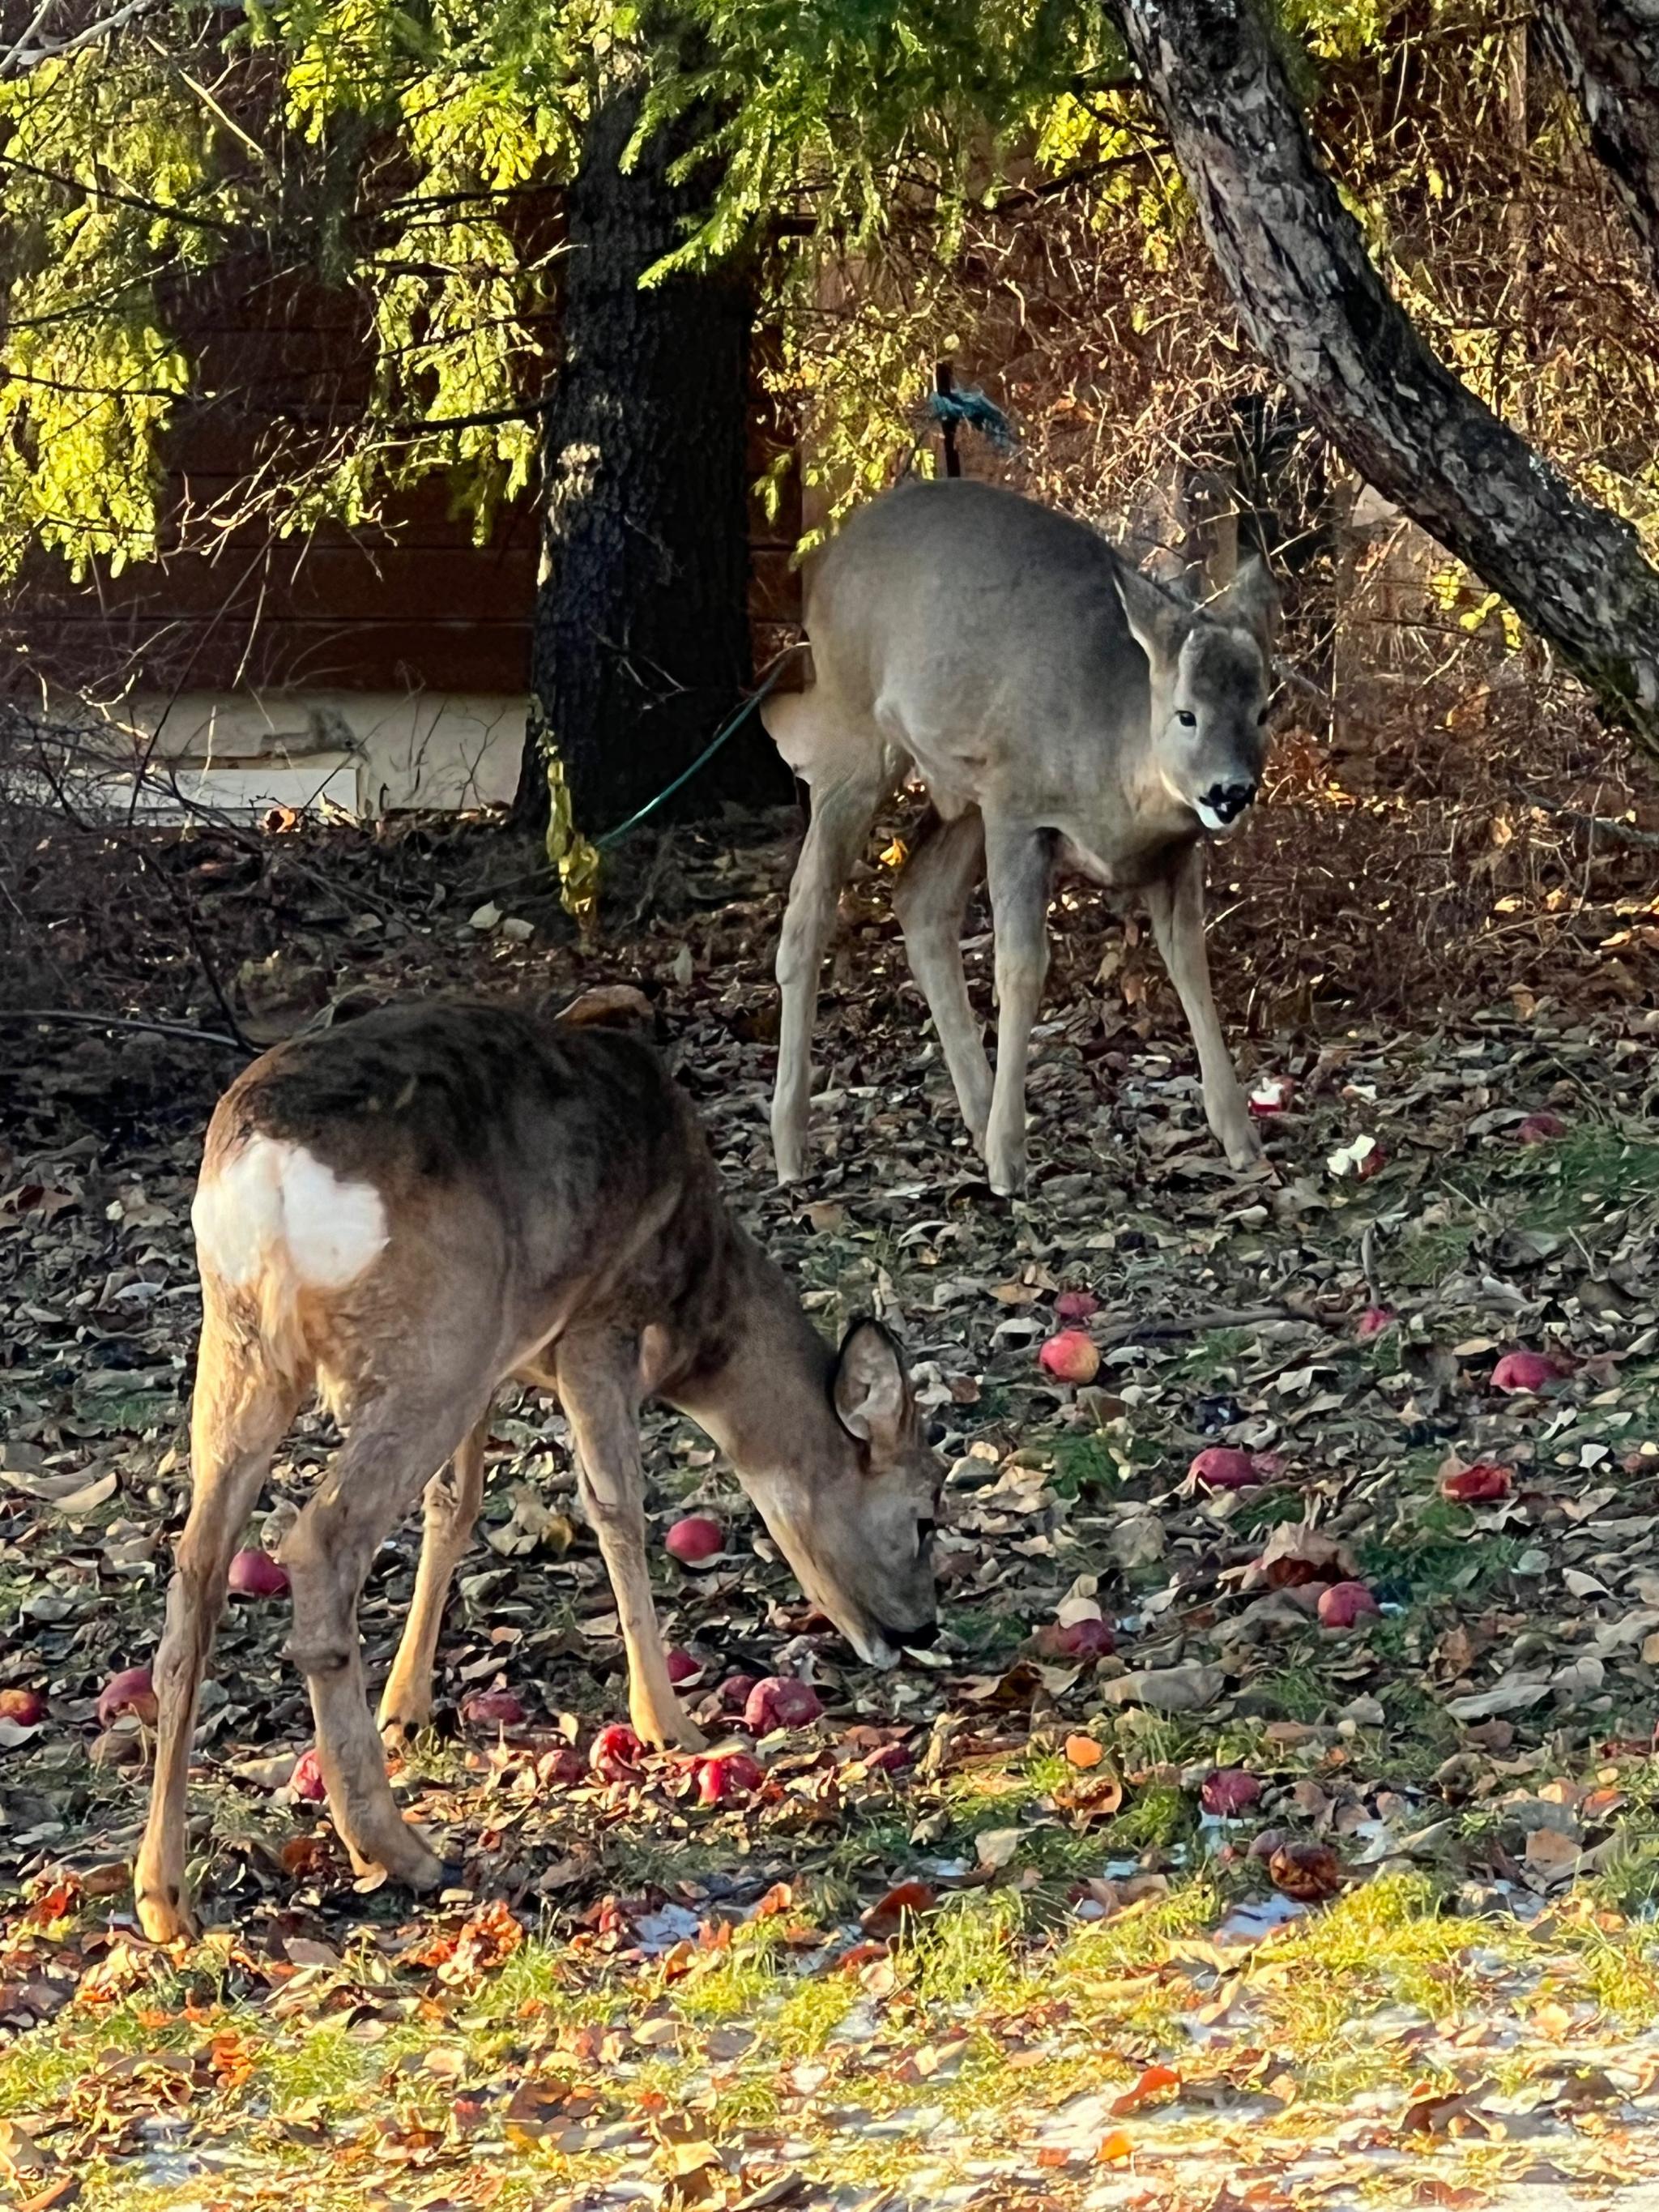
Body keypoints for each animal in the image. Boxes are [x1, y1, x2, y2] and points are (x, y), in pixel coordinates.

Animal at [136, 995, 942, 1946]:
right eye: (925, 1512)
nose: (920, 1628)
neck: (700, 1304)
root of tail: (264, 1169)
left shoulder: (500, 1363)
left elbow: (455, 1506)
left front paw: (407, 1704)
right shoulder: (599, 1321)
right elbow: (615, 1506)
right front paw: (667, 1724)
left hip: (250, 1350)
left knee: (197, 1567)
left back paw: (163, 1895)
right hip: (430, 1339)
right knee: (320, 1542)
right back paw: (396, 1850)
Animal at [761, 477, 1282, 1203]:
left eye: (1262, 710)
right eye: (1186, 714)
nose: (1229, 792)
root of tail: (829, 558)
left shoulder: (1173, 853)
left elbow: (1190, 965)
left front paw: (1240, 1137)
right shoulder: (1019, 808)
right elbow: (1021, 969)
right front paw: (1010, 1161)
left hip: (964, 790)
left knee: (919, 901)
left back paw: (976, 1115)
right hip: (860, 740)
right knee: (808, 913)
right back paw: (792, 1146)